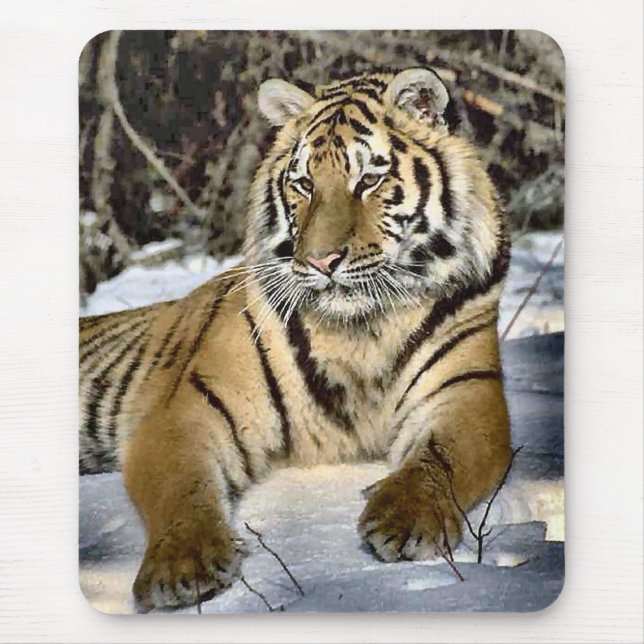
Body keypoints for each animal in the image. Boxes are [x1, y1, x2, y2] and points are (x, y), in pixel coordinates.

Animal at [79, 67, 512, 610]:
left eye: (369, 180)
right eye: (304, 184)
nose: (322, 261)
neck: (360, 329)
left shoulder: (467, 395)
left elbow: (440, 461)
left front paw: (405, 519)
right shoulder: (186, 411)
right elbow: (182, 487)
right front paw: (183, 565)